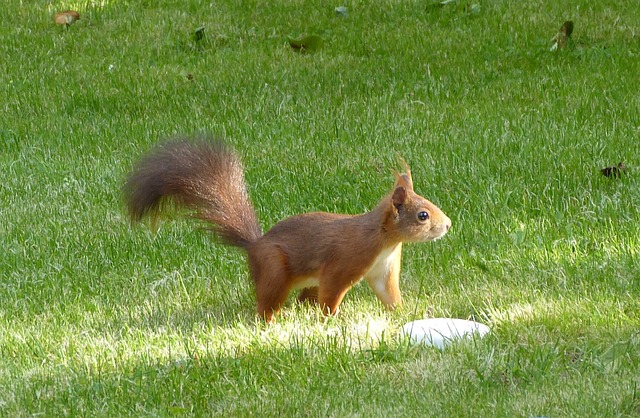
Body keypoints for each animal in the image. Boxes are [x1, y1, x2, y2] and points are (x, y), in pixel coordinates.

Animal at [125, 139, 452, 322]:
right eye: (423, 215)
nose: (448, 224)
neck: (384, 241)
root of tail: (254, 246)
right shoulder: (345, 261)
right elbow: (332, 293)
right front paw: (334, 319)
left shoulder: (384, 268)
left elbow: (389, 294)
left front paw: (404, 312)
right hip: (274, 270)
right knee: (268, 302)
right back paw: (270, 322)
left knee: (302, 298)